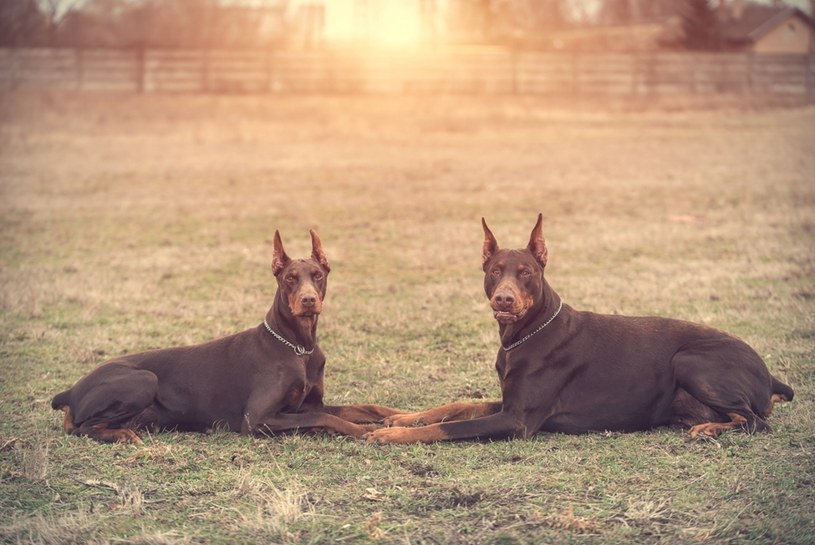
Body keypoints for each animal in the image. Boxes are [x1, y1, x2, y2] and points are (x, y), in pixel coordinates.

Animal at [51, 230, 402, 442]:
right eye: (290, 278)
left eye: (317, 275)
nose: (308, 300)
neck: (298, 347)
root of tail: (71, 389)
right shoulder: (257, 418)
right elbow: (328, 417)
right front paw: (364, 430)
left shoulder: (305, 405)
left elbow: (363, 408)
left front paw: (395, 417)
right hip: (143, 380)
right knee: (81, 427)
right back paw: (122, 435)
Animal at [366, 212, 792, 442]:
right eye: (494, 271)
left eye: (526, 273)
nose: (504, 300)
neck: (525, 335)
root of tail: (770, 375)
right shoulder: (507, 402)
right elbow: (455, 407)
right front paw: (403, 418)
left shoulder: (517, 419)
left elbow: (449, 428)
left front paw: (393, 434)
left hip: (689, 360)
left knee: (756, 422)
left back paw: (710, 431)